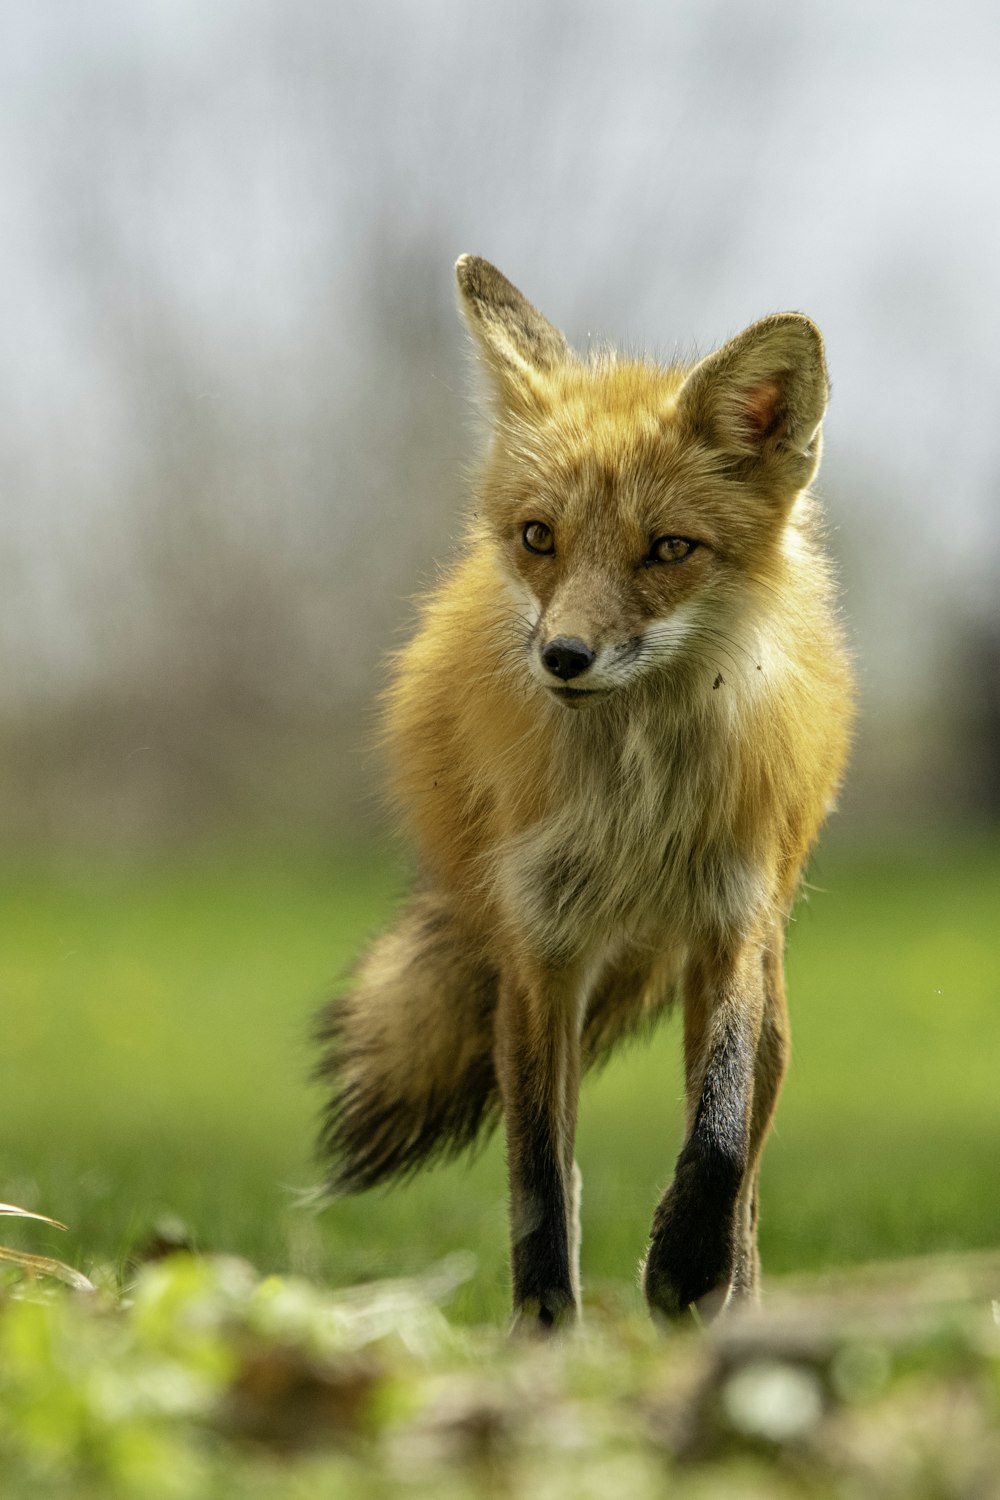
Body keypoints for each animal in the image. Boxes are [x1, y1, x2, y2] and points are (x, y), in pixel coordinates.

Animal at [314, 252, 851, 1332]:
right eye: (538, 537)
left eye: (669, 549)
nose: (563, 656)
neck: (633, 808)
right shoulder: (538, 957)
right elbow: (538, 1179)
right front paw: (545, 1332)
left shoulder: (727, 927)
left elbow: (717, 1139)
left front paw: (683, 1265)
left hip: (763, 980)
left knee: (748, 1164)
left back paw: (733, 1299)